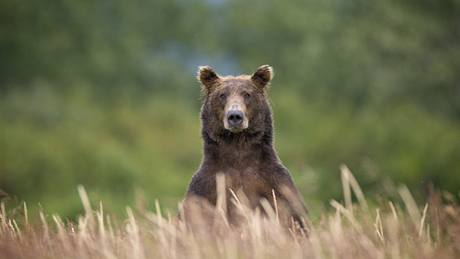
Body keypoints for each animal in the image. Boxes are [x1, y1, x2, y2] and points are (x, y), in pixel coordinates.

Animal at [182, 64, 306, 230]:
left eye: (247, 94)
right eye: (222, 95)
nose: (235, 116)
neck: (238, 145)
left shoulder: (275, 184)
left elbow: (294, 219)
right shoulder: (206, 188)